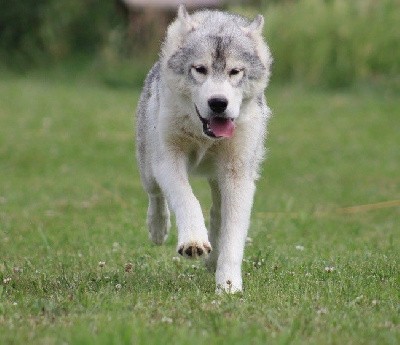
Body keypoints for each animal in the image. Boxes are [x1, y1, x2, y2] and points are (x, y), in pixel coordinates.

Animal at [136, 5, 274, 292]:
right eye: (200, 69)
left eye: (235, 71)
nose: (218, 103)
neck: (205, 137)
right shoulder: (168, 160)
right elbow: (187, 198)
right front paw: (193, 242)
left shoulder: (239, 174)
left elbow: (233, 234)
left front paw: (229, 285)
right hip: (147, 165)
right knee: (155, 194)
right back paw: (158, 228)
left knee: (217, 212)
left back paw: (214, 259)